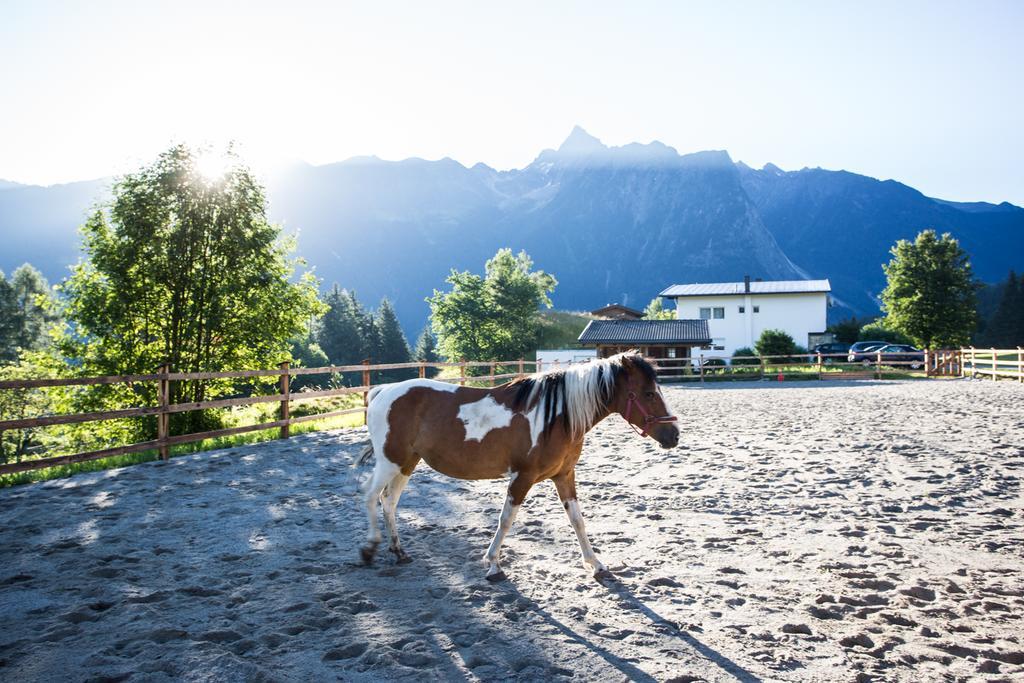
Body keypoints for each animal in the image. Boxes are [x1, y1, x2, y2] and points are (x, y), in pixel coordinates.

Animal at [356, 352, 675, 581]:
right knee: (371, 495)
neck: (556, 414)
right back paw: (369, 548)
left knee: (389, 501)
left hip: (406, 462)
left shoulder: (564, 476)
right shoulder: (522, 477)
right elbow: (506, 519)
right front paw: (493, 565)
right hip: (390, 460)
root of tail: (381, 392)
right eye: (648, 394)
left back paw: (399, 551)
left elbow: (577, 520)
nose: (674, 435)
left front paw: (595, 565)